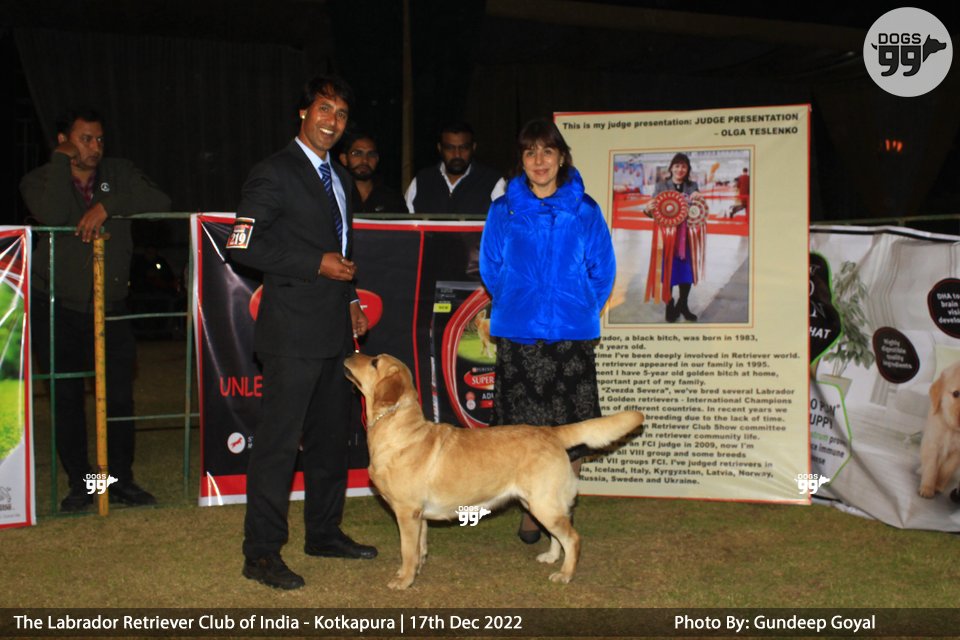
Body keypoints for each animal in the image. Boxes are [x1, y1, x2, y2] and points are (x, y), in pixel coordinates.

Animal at [343, 353, 643, 589]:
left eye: (374, 362)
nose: (349, 354)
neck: (399, 430)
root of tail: (550, 431)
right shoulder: (419, 515)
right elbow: (419, 547)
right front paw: (414, 570)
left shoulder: (407, 513)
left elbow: (407, 550)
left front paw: (404, 580)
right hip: (539, 503)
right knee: (561, 533)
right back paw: (551, 557)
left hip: (543, 504)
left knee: (573, 538)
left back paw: (565, 574)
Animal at [919, 361, 960, 498]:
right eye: (956, 394)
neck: (951, 429)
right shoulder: (932, 445)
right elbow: (931, 468)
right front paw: (927, 488)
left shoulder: (956, 454)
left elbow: (946, 470)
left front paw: (938, 486)